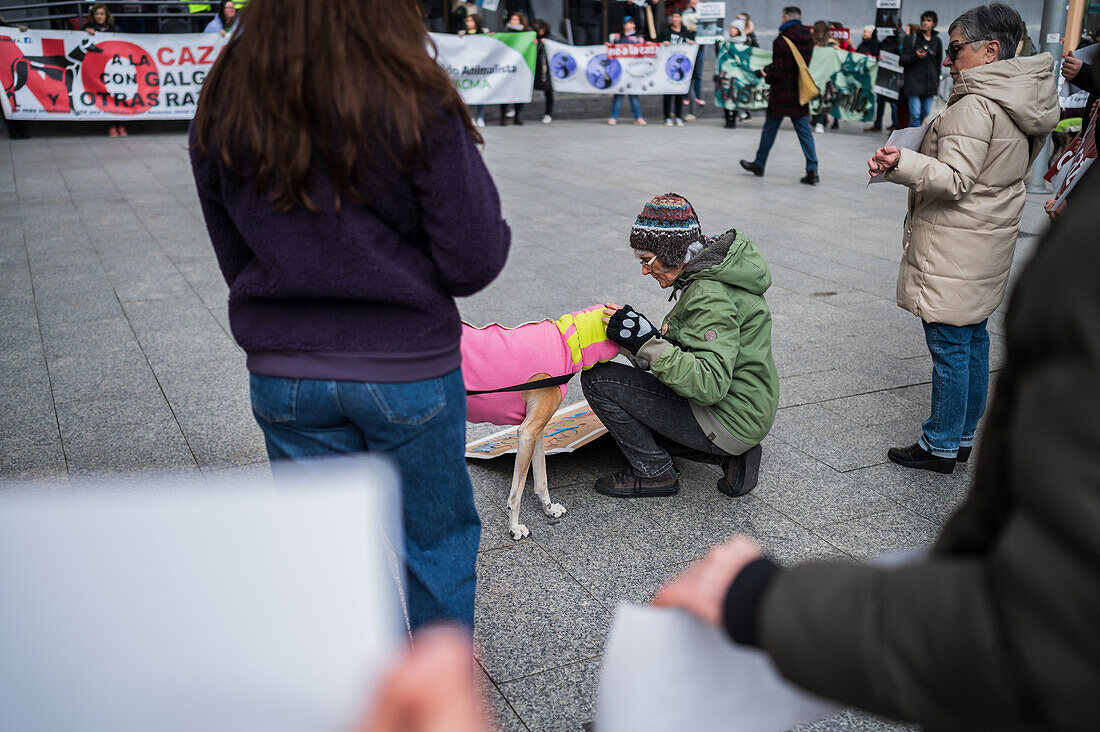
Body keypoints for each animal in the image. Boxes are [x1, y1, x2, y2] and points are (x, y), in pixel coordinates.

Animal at [459, 301, 624, 537]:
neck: (567, 343)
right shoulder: (527, 432)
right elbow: (516, 494)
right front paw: (514, 527)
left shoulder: (537, 432)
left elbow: (541, 480)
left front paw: (549, 509)